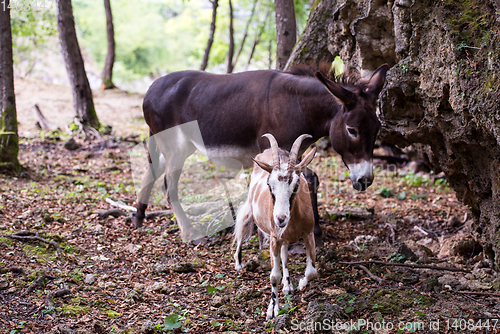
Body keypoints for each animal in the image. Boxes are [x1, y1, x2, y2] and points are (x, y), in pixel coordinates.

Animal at [233, 132, 316, 318]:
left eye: (296, 184)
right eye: (269, 185)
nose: (280, 219)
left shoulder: (309, 234)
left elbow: (312, 272)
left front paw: (300, 283)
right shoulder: (273, 238)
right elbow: (273, 276)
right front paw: (273, 309)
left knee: (285, 256)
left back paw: (288, 285)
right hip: (251, 210)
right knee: (242, 225)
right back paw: (239, 263)